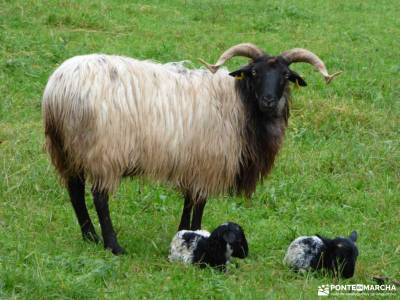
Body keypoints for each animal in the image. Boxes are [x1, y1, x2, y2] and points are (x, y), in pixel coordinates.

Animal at [43, 42, 340, 253]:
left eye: (286, 76)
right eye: (254, 72)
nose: (268, 100)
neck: (241, 104)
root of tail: (59, 90)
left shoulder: (194, 163)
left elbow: (188, 202)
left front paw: (182, 231)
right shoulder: (207, 163)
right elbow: (199, 204)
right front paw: (198, 235)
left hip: (67, 149)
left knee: (74, 191)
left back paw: (89, 237)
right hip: (103, 151)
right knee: (99, 198)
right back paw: (113, 245)